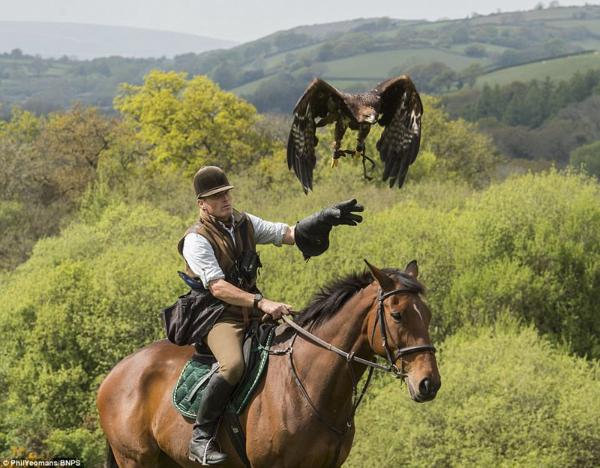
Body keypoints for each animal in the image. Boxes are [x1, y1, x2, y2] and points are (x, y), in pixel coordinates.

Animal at [97, 262, 440, 466]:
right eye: (397, 315)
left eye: (427, 313)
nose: (429, 383)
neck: (309, 386)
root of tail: (114, 375)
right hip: (136, 460)